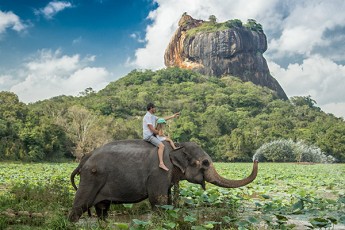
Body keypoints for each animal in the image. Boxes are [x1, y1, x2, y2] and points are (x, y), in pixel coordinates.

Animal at [68, 139, 255, 222]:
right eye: (205, 163)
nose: (255, 159)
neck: (176, 146)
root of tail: (84, 159)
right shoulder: (159, 173)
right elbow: (159, 201)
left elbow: (168, 201)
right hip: (91, 178)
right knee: (79, 206)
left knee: (102, 210)